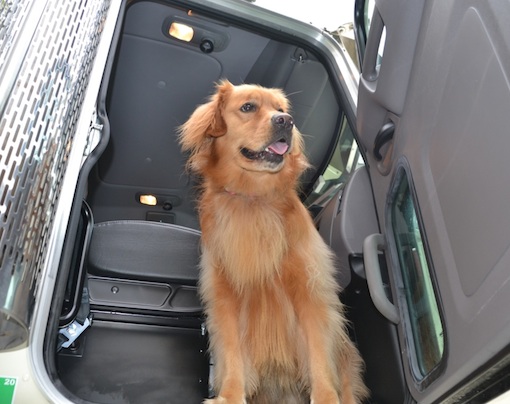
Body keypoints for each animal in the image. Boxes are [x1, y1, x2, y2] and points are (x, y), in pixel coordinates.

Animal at [179, 80, 366, 402]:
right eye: (248, 107)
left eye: (280, 109)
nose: (286, 121)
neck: (253, 197)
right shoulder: (224, 294)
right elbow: (232, 352)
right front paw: (230, 395)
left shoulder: (309, 288)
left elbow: (317, 351)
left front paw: (325, 396)